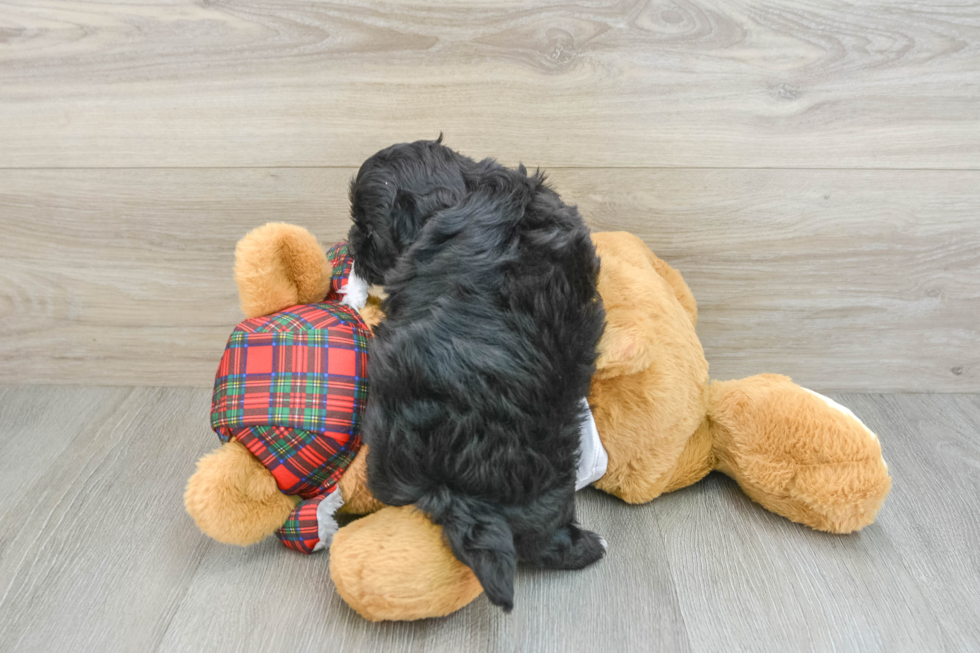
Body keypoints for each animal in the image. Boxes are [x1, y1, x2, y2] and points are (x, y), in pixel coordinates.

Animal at [344, 138, 604, 612]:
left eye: (367, 226)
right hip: (550, 483)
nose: (352, 242)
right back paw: (584, 544)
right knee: (544, 537)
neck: (467, 188)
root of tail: (462, 483)